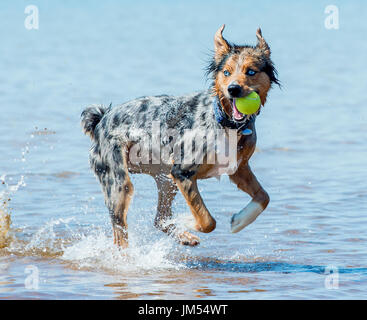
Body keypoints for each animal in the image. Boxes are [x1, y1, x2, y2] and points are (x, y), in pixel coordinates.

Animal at [81, 26, 278, 249]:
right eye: (226, 72)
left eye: (251, 71)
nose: (233, 89)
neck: (225, 122)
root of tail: (101, 119)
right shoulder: (182, 171)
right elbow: (207, 220)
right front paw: (187, 220)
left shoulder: (238, 168)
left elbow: (264, 197)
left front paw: (239, 221)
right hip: (118, 181)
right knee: (120, 231)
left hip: (165, 178)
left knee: (159, 218)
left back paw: (183, 236)